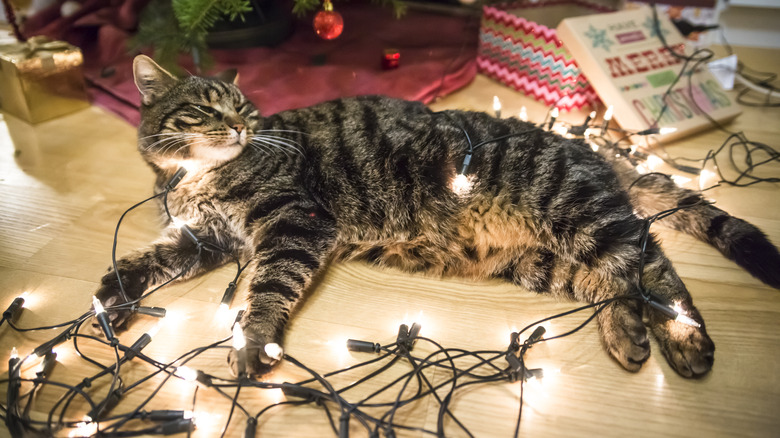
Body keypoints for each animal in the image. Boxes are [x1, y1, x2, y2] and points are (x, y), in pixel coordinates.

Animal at [96, 54, 780, 376]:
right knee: (621, 277)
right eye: (207, 109)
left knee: (650, 264)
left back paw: (678, 338)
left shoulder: (293, 222)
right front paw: (114, 294)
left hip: (575, 212)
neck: (192, 179)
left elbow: (267, 287)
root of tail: (595, 150)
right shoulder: (208, 239)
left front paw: (253, 339)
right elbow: (154, 259)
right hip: (548, 259)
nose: (240, 126)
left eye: (244, 107)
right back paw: (637, 333)